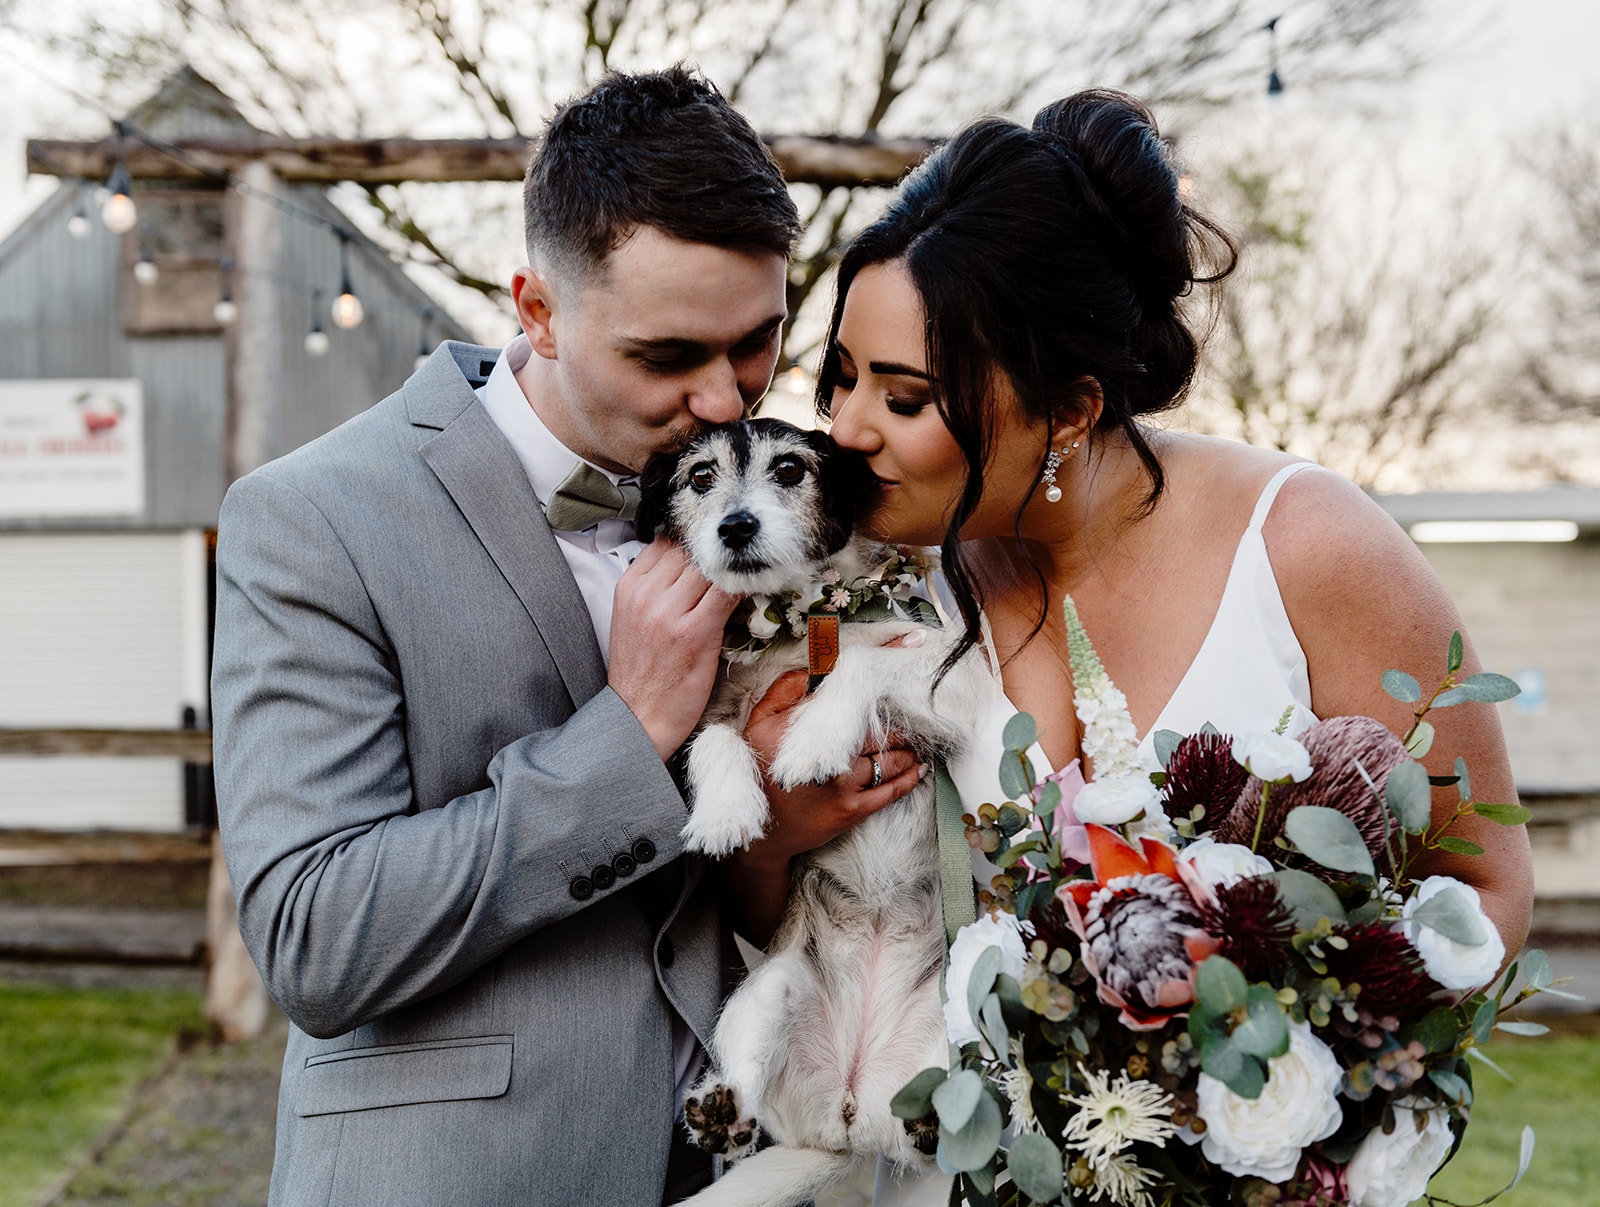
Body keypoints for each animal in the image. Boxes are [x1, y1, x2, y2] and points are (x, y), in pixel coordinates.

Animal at [633, 416, 985, 1203]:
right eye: (700, 477)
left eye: (790, 469)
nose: (735, 525)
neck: (801, 623)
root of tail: (851, 1120)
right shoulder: (711, 710)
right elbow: (718, 740)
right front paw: (728, 811)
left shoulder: (953, 674)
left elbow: (863, 663)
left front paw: (815, 740)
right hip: (764, 995)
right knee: (747, 1078)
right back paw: (720, 1109)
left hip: (977, 986)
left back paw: (940, 1112)